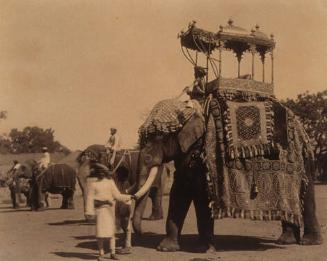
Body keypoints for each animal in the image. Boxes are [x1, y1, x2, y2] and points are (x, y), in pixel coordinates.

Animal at [132, 96, 324, 252]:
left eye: (158, 137)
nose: (140, 234)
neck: (192, 109)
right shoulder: (186, 157)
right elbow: (178, 193)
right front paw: (165, 248)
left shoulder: (203, 156)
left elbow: (203, 197)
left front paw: (203, 250)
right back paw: (285, 241)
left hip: (303, 158)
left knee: (307, 197)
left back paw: (309, 242)